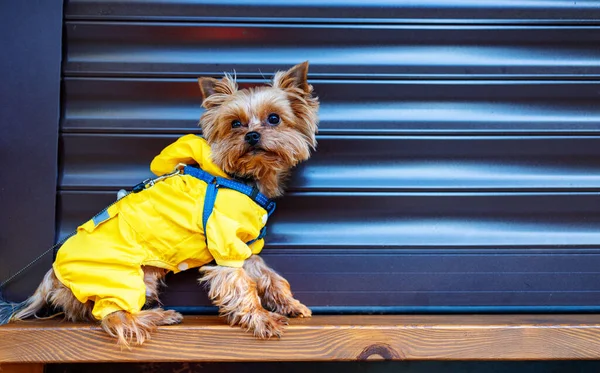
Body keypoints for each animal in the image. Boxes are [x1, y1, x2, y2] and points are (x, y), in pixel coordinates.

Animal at [1, 60, 318, 346]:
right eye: (235, 124)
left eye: (274, 118)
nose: (252, 135)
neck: (242, 179)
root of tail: (51, 277)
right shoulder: (226, 248)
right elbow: (243, 285)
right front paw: (262, 318)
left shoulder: (246, 248)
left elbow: (269, 276)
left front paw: (290, 305)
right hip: (125, 279)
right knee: (114, 318)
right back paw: (159, 316)